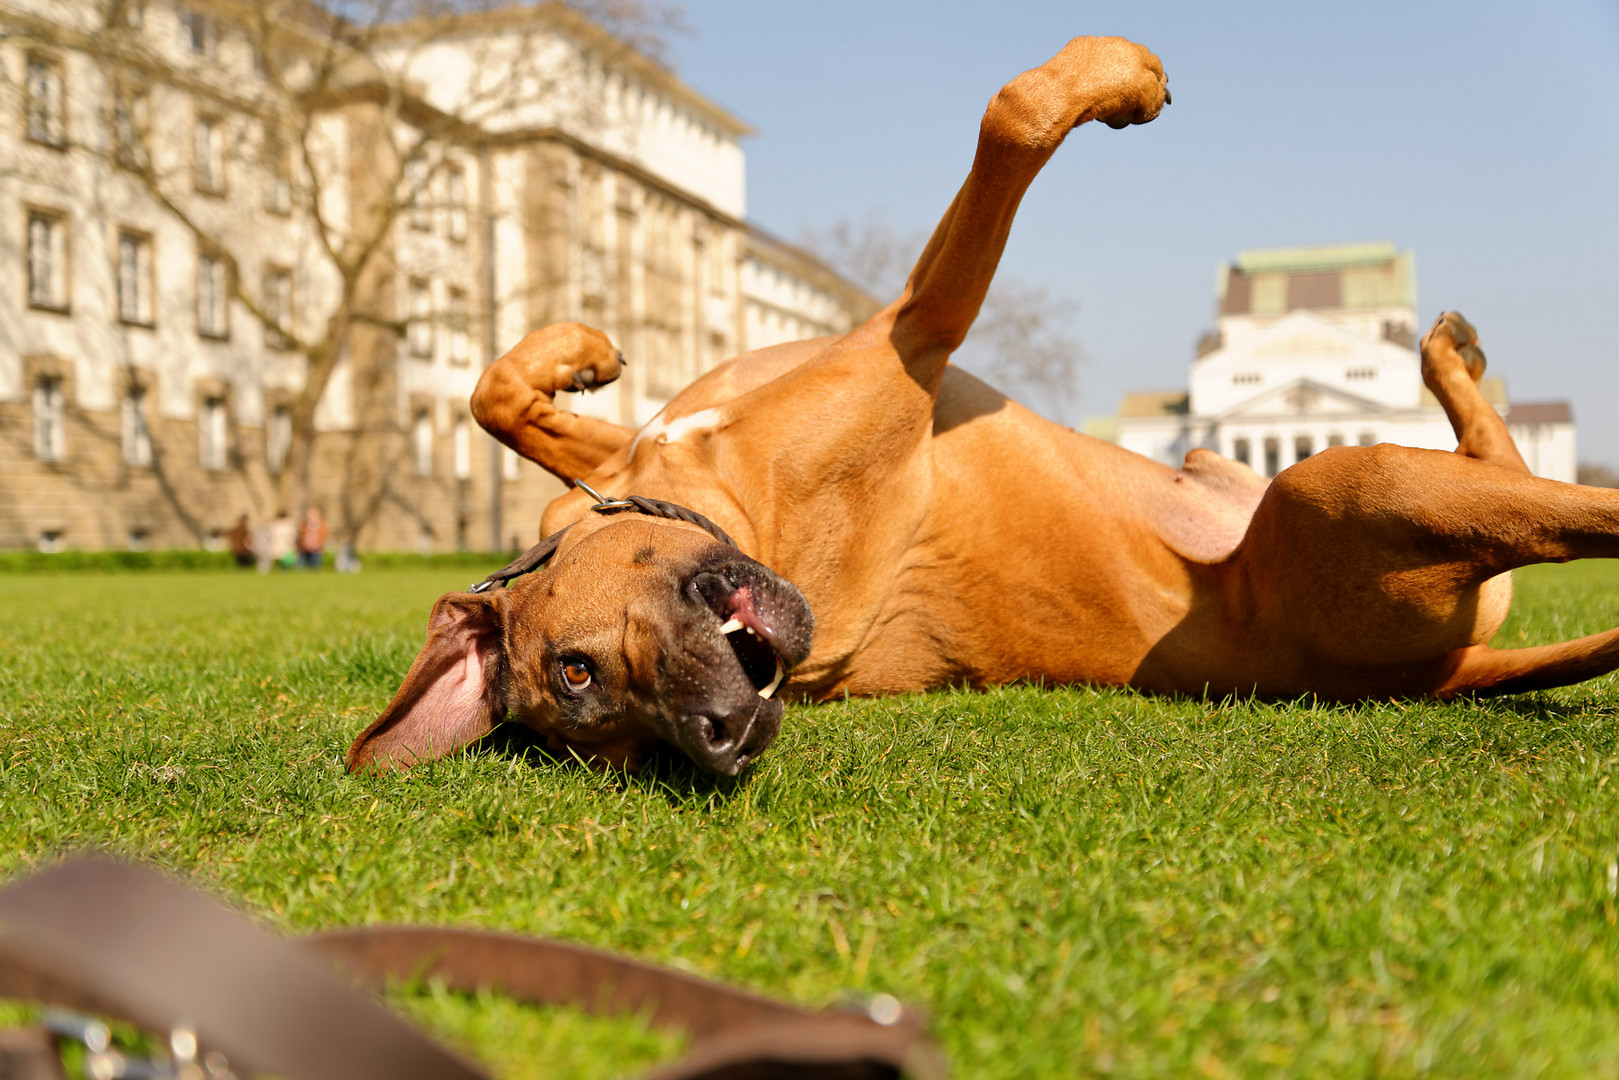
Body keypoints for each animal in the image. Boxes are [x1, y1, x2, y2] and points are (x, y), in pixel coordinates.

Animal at [348, 33, 1612, 777]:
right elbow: (1008, 120)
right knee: (1563, 510)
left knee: (1509, 465)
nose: (718, 741)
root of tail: (1393, 681)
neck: (713, 503)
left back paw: (1448, 359)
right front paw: (1111, 77)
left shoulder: (699, 419)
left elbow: (499, 394)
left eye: (571, 673)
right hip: (1356, 486)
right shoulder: (910, 336)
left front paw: (574, 353)